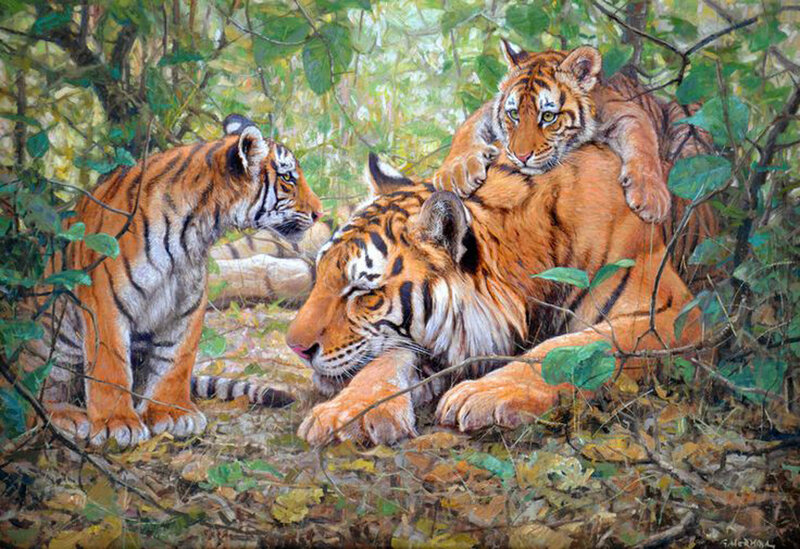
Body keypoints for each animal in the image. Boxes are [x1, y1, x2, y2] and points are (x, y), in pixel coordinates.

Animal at [20, 114, 321, 448]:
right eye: (288, 179)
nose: (319, 213)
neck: (197, 229)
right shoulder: (105, 301)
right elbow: (111, 365)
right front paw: (117, 424)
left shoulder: (188, 301)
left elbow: (176, 358)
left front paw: (171, 413)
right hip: (47, 347)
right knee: (36, 399)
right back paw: (66, 416)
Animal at [286, 149, 709, 446]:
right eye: (322, 273)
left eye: (363, 291)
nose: (295, 347)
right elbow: (383, 364)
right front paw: (345, 413)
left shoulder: (672, 314)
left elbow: (570, 346)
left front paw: (485, 393)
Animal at [432, 40, 672, 224]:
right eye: (514, 114)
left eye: (548, 116)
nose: (521, 156)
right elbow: (467, 128)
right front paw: (455, 173)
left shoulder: (625, 111)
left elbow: (645, 142)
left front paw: (651, 197)